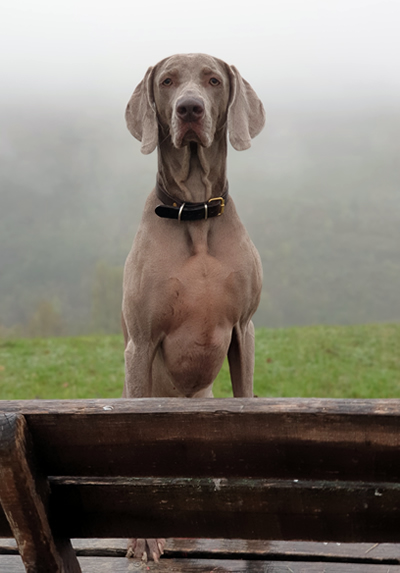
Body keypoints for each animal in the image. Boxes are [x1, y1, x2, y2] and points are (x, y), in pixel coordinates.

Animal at [122, 51, 266, 560]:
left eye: (213, 80)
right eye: (167, 81)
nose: (189, 109)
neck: (196, 213)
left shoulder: (244, 328)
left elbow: (246, 398)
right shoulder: (140, 343)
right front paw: (144, 538)